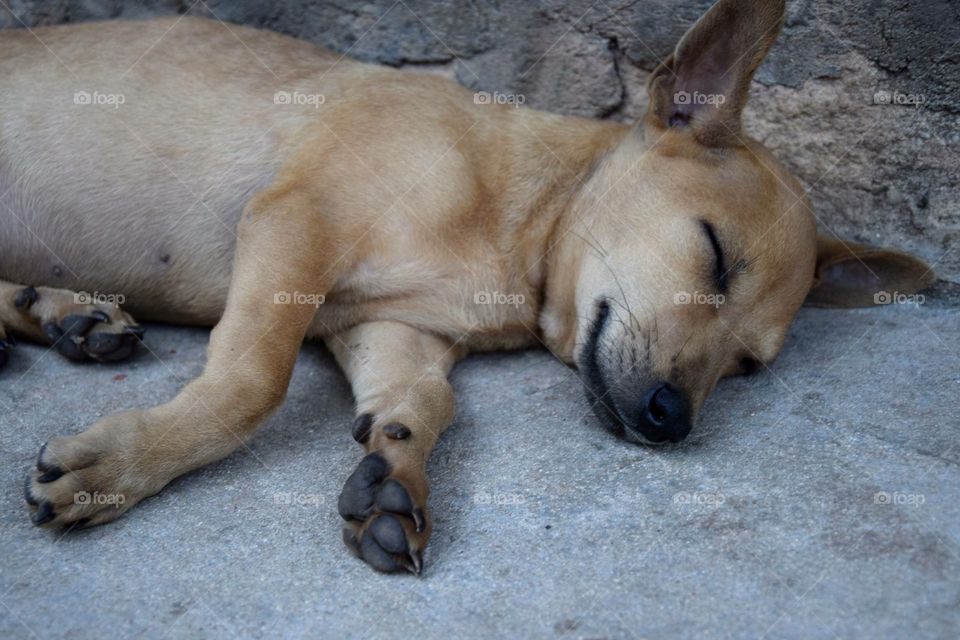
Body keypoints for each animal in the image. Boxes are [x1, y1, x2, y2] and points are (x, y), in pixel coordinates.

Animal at [0, 0, 928, 572]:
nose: (672, 421)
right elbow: (251, 384)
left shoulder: (394, 330)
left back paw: (58, 312)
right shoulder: (294, 226)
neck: (513, 236)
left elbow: (427, 403)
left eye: (748, 367)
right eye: (713, 254)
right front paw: (121, 463)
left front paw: (397, 474)